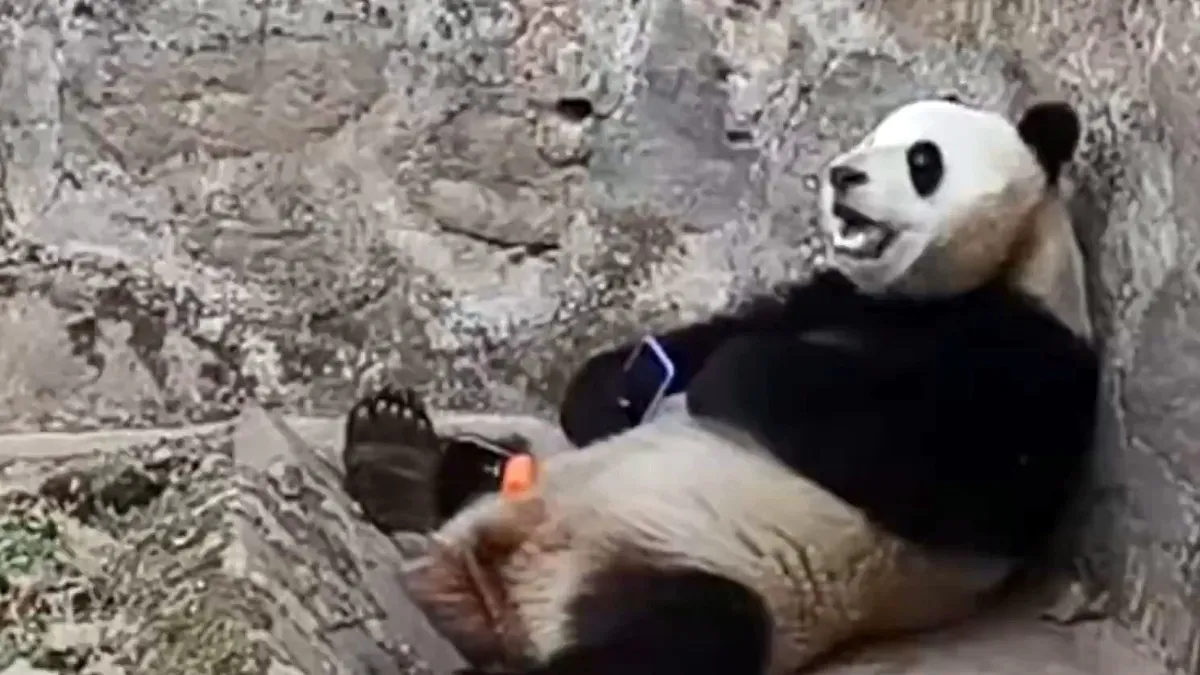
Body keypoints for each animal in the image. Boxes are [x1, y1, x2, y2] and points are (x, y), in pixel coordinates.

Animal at [342, 96, 1100, 675]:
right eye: (869, 137)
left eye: (923, 159)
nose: (843, 174)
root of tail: (497, 592)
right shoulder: (828, 295)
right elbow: (701, 337)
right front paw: (616, 390)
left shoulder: (1035, 356)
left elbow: (948, 463)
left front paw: (734, 374)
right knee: (489, 470)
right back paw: (399, 455)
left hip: (699, 570)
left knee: (682, 637)